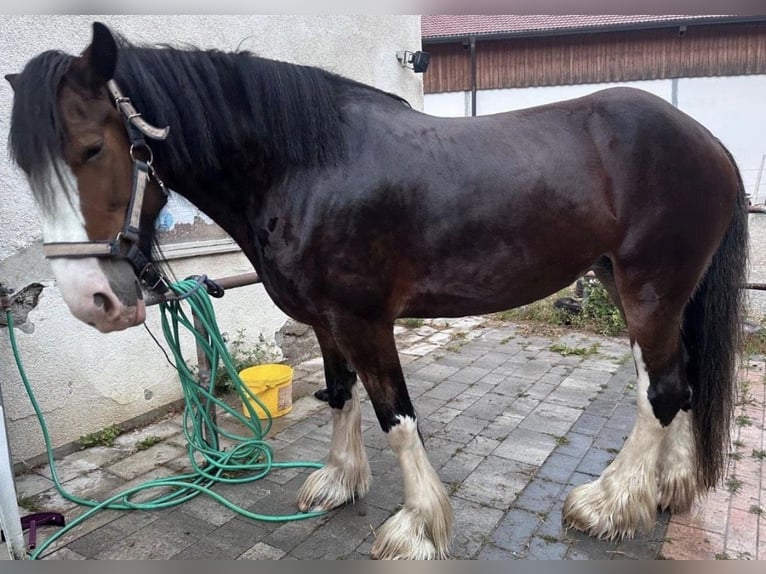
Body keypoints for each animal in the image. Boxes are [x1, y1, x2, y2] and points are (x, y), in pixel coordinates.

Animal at [5, 22, 748, 559]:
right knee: (678, 382)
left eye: (93, 147)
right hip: (636, 288)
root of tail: (710, 143)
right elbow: (340, 395)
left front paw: (418, 527)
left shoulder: (365, 321)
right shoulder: (325, 319)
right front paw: (337, 482)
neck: (305, 163)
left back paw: (610, 504)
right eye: (26, 165)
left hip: (649, 290)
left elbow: (396, 416)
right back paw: (669, 489)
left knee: (663, 391)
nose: (91, 300)